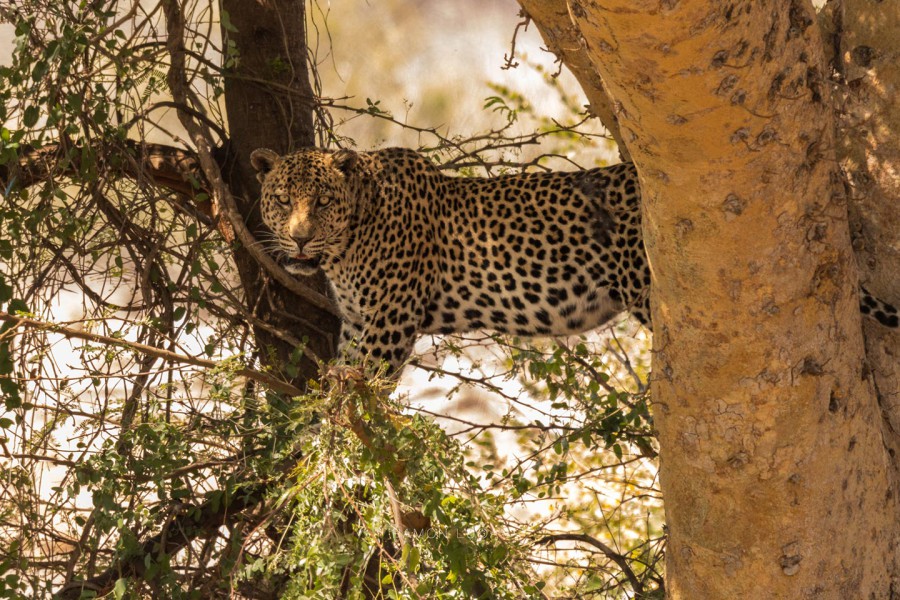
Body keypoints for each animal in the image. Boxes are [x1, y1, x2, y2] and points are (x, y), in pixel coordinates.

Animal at [253, 146, 900, 370]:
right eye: (283, 200)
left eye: (322, 202)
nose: (301, 240)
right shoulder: (360, 325)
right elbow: (339, 382)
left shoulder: (388, 327)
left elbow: (352, 396)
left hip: (653, 294)